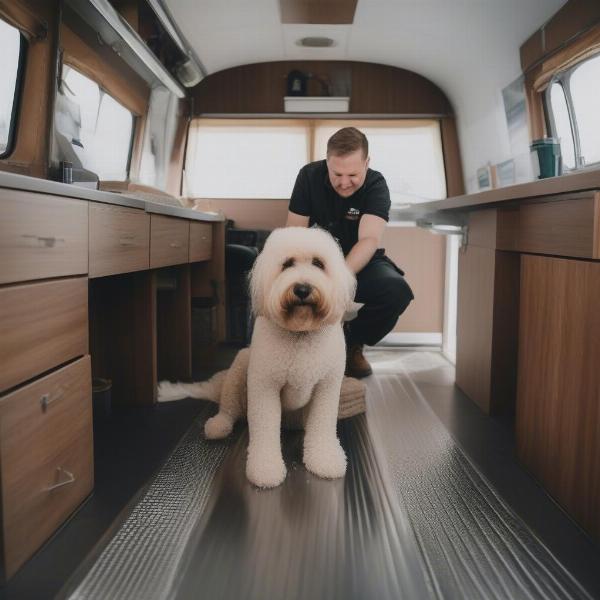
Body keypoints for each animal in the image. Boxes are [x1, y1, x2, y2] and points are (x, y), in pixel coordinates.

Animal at [158, 227, 356, 490]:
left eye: (318, 264)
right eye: (287, 264)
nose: (302, 289)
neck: (300, 334)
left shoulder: (327, 388)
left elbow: (322, 426)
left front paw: (324, 460)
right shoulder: (265, 386)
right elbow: (264, 429)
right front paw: (266, 469)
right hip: (240, 370)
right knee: (229, 409)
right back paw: (218, 425)